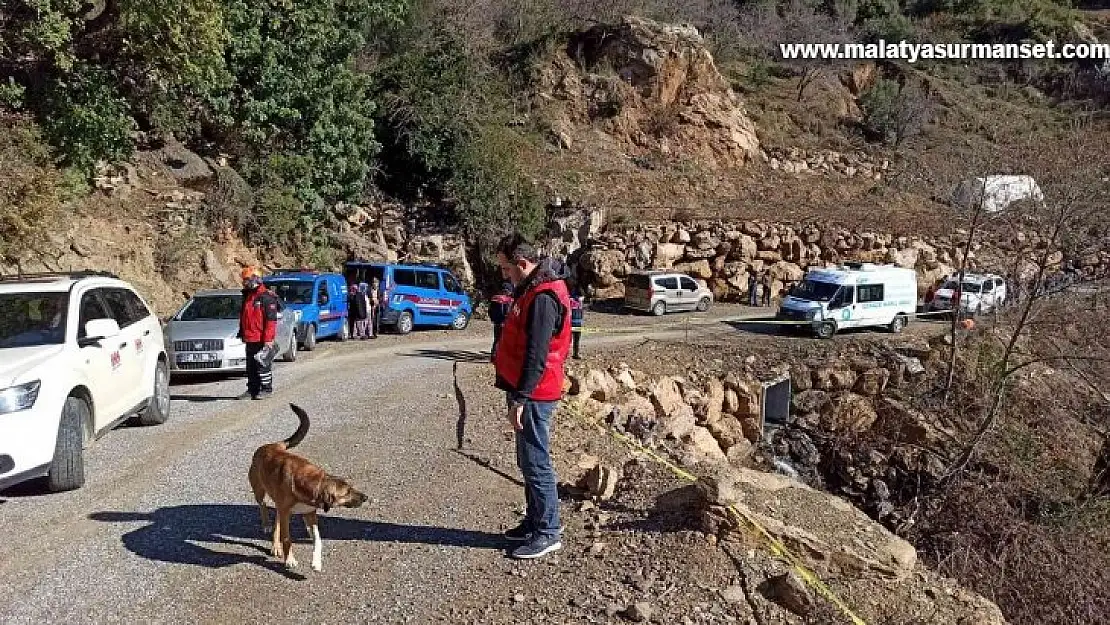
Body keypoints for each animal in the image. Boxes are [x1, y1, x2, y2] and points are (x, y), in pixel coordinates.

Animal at [248, 406, 366, 572]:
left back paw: (275, 546)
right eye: (346, 492)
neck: (312, 481)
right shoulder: (286, 513)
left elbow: (318, 539)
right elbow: (287, 538)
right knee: (263, 505)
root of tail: (273, 445)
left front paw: (316, 562)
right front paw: (290, 560)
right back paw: (266, 525)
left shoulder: (309, 513)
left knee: (276, 518)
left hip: (279, 504)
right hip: (259, 490)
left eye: (351, 487)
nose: (365, 497)